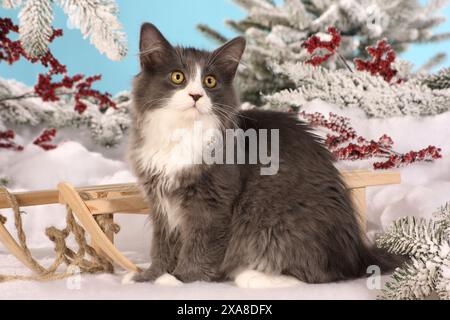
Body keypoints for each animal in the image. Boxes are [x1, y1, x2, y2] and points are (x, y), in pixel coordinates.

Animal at [124, 22, 400, 288]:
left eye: (210, 81)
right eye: (177, 77)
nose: (195, 95)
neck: (181, 133)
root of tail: (357, 254)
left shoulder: (212, 204)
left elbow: (198, 249)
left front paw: (179, 279)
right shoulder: (160, 205)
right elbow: (162, 247)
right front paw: (149, 276)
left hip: (277, 224)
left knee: (317, 275)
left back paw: (251, 276)